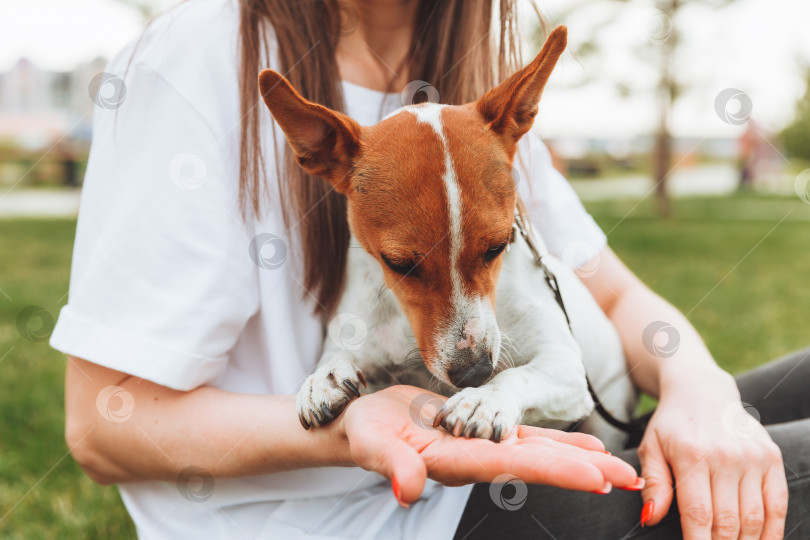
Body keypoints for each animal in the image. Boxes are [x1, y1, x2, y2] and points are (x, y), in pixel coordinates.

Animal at [262, 25, 636, 448]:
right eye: (398, 264)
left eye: (499, 245)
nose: (474, 375)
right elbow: (337, 356)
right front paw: (323, 377)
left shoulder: (566, 368)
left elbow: (519, 374)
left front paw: (484, 400)